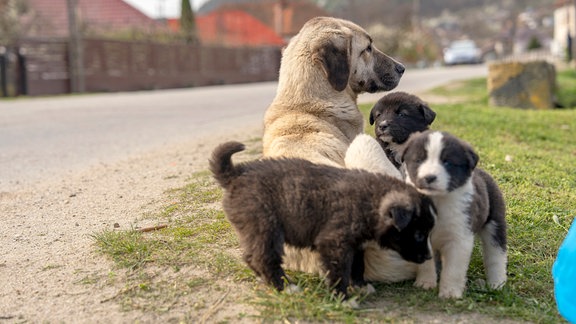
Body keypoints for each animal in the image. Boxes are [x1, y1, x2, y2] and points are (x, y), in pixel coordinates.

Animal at [209, 140, 434, 300]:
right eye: (418, 234)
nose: (429, 257)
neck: (370, 199)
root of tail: (235, 175)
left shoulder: (356, 244)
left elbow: (357, 265)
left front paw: (360, 286)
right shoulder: (334, 243)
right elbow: (338, 272)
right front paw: (342, 298)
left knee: (251, 256)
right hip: (265, 227)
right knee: (264, 258)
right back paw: (286, 287)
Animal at [402, 130, 506, 298]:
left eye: (447, 163)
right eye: (419, 160)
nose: (429, 177)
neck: (437, 202)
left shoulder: (460, 238)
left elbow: (454, 269)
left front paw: (450, 293)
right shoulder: (420, 236)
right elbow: (426, 264)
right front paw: (425, 283)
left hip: (495, 222)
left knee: (496, 254)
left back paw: (497, 283)